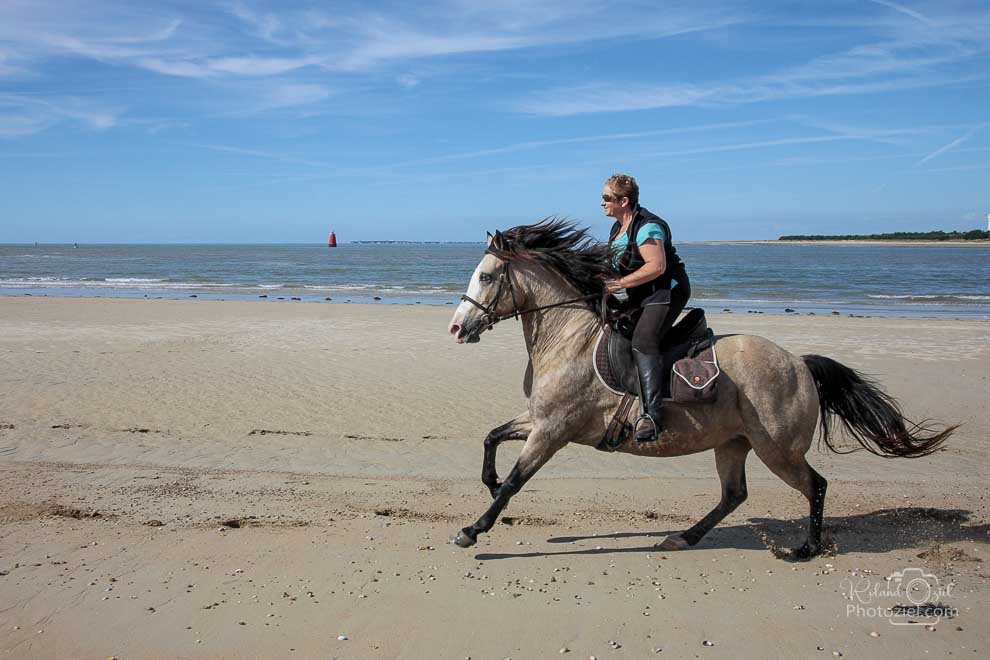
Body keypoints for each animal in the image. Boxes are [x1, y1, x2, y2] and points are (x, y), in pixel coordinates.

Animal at [446, 219, 956, 560]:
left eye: (486, 276)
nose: (456, 328)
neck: (570, 339)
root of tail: (798, 363)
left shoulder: (553, 430)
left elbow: (517, 480)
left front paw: (473, 530)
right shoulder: (541, 420)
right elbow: (492, 438)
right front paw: (489, 482)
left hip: (777, 449)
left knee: (815, 485)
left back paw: (804, 549)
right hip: (733, 443)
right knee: (734, 495)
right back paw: (683, 537)